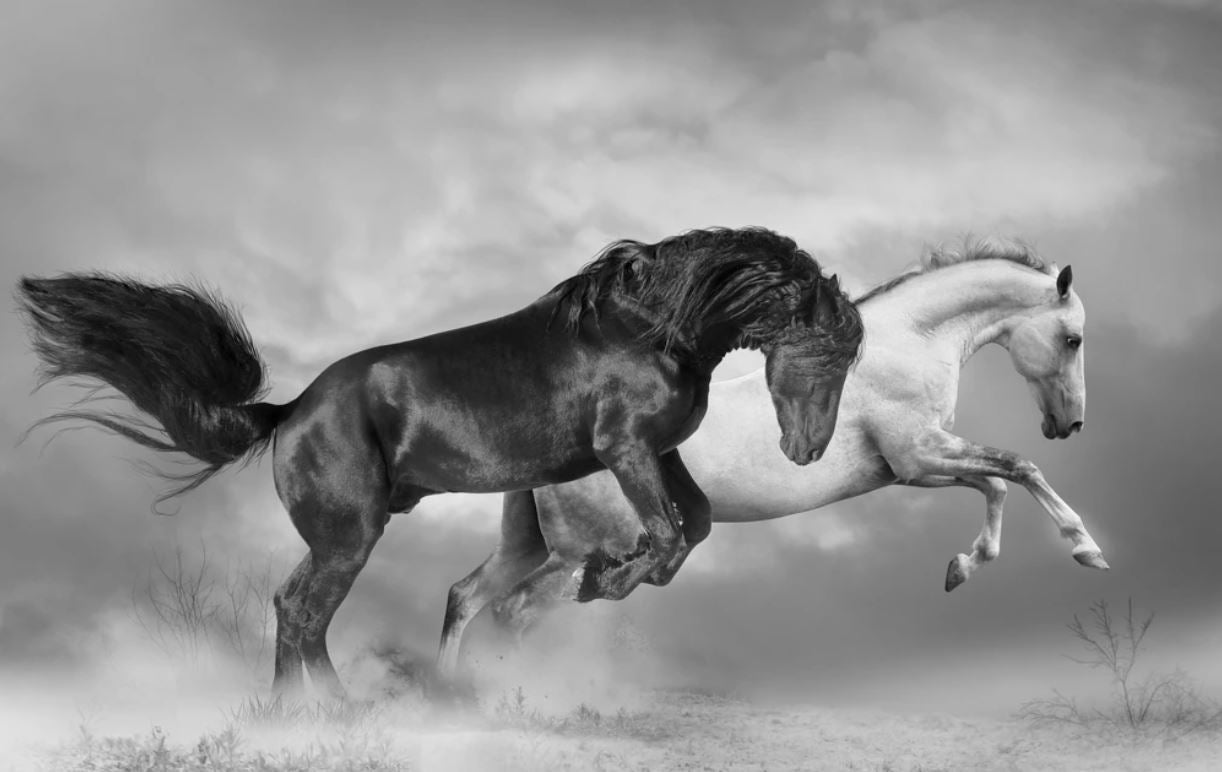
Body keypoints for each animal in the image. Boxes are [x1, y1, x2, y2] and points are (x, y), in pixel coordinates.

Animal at [17, 226, 864, 696]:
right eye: (828, 352)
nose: (807, 450)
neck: (654, 328)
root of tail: (289, 413)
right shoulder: (624, 448)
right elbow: (665, 535)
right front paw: (601, 580)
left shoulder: (657, 450)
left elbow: (694, 527)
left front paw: (601, 580)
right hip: (350, 536)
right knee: (304, 613)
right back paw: (339, 711)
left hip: (341, 537)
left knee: (294, 610)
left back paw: (301, 716)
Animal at [437, 239, 1108, 670]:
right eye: (1073, 339)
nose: (1070, 424)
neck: (910, 342)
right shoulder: (919, 459)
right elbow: (1017, 469)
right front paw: (1086, 549)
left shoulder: (920, 466)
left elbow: (998, 483)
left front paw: (960, 568)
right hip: (579, 555)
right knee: (512, 611)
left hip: (532, 545)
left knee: (466, 599)